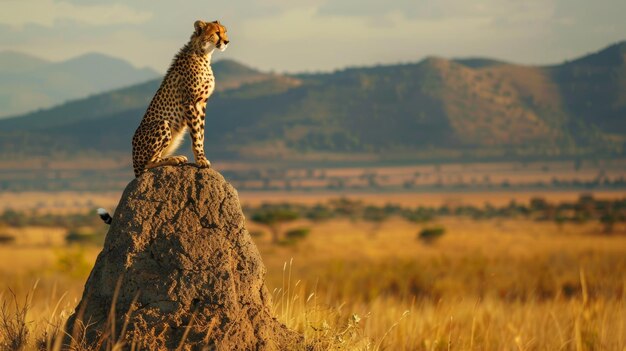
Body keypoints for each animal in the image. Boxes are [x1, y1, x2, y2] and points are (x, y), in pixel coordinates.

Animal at [130, 20, 228, 177]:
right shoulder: (190, 102)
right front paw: (201, 160)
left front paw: (201, 157)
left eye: (225, 31)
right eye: (217, 33)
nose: (226, 41)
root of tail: (135, 166)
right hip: (162, 123)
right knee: (148, 163)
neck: (203, 53)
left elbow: (201, 133)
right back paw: (174, 159)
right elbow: (196, 134)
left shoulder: (202, 103)